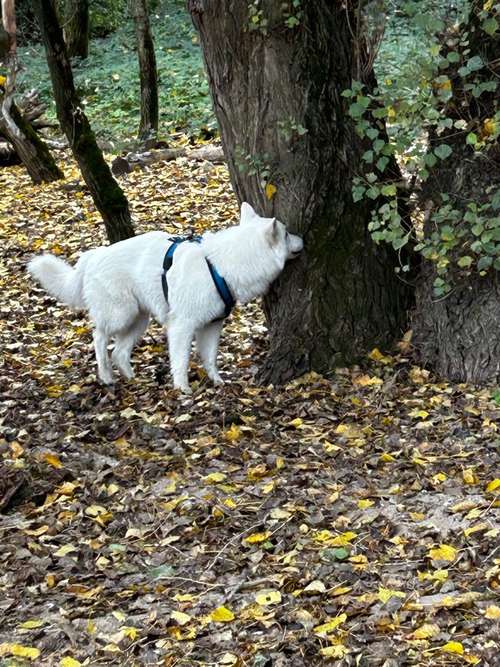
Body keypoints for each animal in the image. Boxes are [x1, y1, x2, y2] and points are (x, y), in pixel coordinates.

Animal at [29, 201, 302, 394]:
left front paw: (217, 382)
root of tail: (92, 257)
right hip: (121, 314)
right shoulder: (182, 327)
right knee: (98, 337)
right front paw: (183, 389)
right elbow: (181, 360)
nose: (303, 239)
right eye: (287, 234)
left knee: (119, 352)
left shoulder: (211, 327)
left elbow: (210, 358)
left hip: (139, 320)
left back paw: (132, 379)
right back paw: (106, 376)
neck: (220, 265)